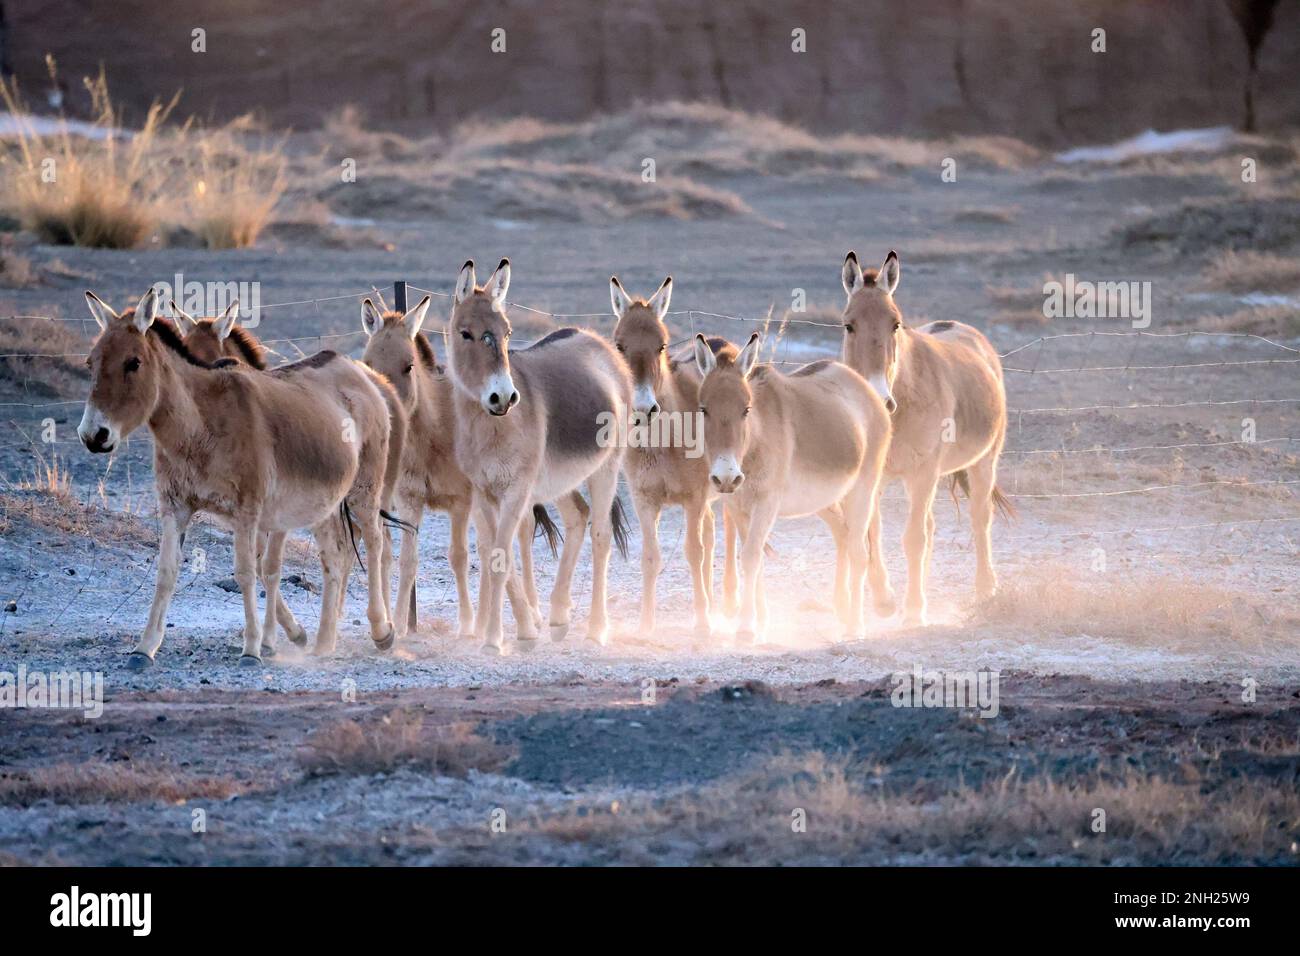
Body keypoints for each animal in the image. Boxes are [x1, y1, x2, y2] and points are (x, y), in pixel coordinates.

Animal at [80, 287, 397, 671]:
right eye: (91, 363)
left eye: (133, 363)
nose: (93, 435)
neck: (200, 425)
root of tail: (356, 369)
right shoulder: (175, 507)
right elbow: (166, 572)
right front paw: (145, 648)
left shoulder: (249, 512)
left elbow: (248, 571)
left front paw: (252, 649)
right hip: (325, 501)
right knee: (335, 557)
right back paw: (324, 642)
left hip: (365, 488)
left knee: (375, 540)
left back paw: (382, 631)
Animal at [447, 257, 629, 655]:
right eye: (465, 334)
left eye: (507, 333)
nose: (503, 398)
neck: (492, 427)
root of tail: (597, 341)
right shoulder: (482, 491)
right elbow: (494, 553)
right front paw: (525, 629)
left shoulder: (517, 489)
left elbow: (501, 558)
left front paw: (494, 640)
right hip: (560, 478)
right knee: (578, 516)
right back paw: (559, 616)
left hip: (606, 467)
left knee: (601, 533)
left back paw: (597, 629)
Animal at [696, 332, 889, 639]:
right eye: (704, 409)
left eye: (746, 409)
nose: (726, 476)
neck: (755, 442)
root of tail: (862, 385)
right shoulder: (738, 506)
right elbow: (754, 556)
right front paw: (761, 621)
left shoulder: (767, 503)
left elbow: (750, 557)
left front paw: (746, 628)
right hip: (825, 499)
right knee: (843, 535)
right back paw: (843, 609)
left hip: (862, 489)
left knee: (859, 551)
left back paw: (855, 626)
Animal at [837, 252, 1008, 629]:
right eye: (849, 325)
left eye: (895, 324)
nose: (880, 400)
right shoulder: (874, 476)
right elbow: (872, 534)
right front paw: (885, 600)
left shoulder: (923, 472)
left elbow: (914, 539)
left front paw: (914, 612)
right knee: (930, 525)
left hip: (983, 462)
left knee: (980, 519)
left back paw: (985, 590)